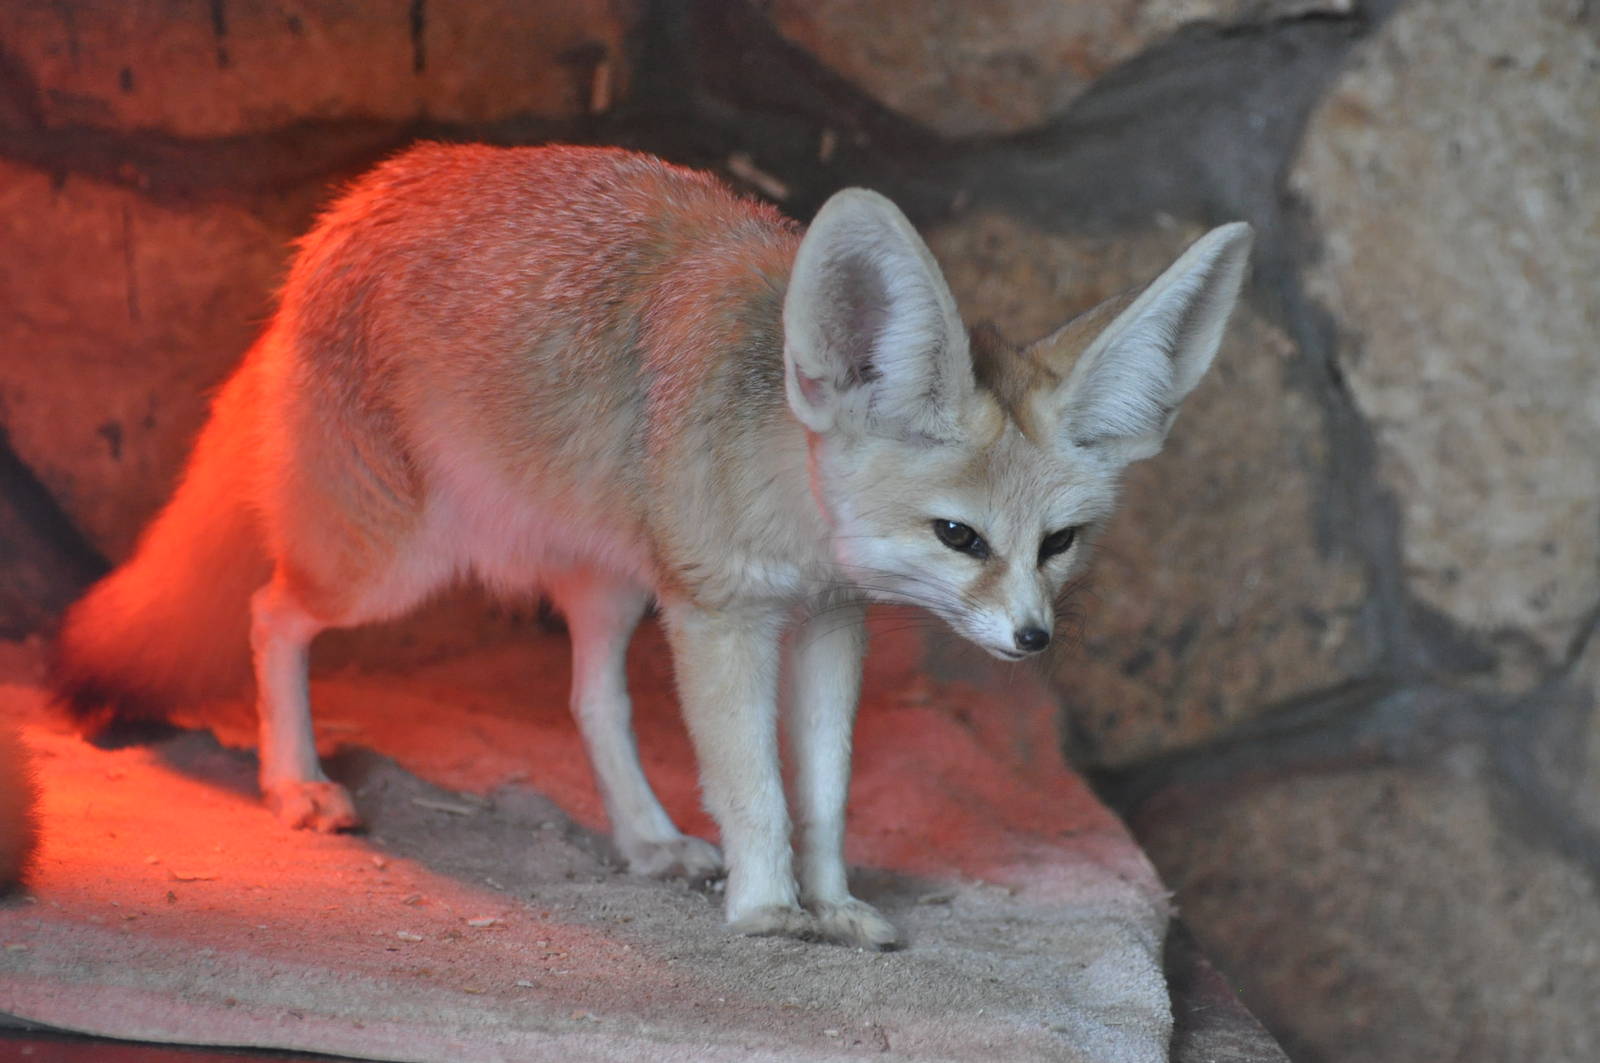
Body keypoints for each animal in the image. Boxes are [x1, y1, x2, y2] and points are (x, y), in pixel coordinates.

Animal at [53, 143, 1249, 948]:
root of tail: (360, 198)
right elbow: (755, 785)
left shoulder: (828, 622)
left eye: (1060, 543)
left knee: (591, 701)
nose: (1033, 639)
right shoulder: (721, 616)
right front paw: (769, 911)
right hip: (390, 566)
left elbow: (822, 790)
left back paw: (644, 837)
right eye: (957, 536)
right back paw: (296, 782)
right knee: (270, 613)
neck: (790, 495)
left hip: (613, 588)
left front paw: (834, 902)